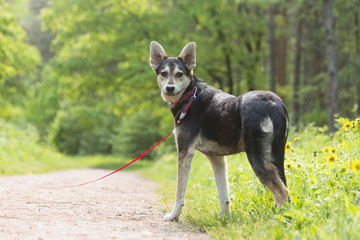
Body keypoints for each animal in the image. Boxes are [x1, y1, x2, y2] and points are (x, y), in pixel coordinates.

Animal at [149, 40, 290, 221]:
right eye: (163, 73)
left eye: (180, 74)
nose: (170, 88)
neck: (190, 95)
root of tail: (275, 103)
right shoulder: (217, 158)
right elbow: (224, 195)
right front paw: (224, 218)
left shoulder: (184, 153)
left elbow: (179, 193)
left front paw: (174, 216)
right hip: (276, 156)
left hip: (257, 158)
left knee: (282, 193)